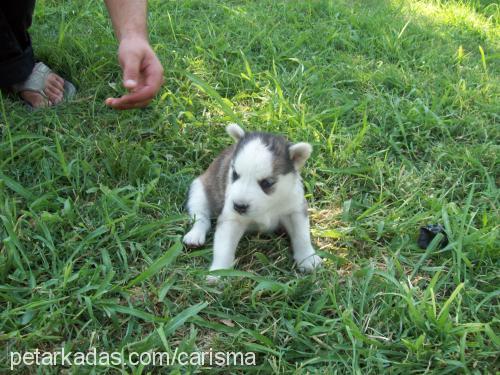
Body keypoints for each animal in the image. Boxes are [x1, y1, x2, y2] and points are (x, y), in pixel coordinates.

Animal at [183, 125, 320, 280]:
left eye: (267, 183)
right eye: (235, 174)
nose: (238, 206)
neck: (269, 206)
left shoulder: (295, 209)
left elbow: (302, 236)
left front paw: (308, 258)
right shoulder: (232, 219)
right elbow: (223, 247)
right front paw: (218, 271)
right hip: (198, 190)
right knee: (201, 217)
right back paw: (195, 235)